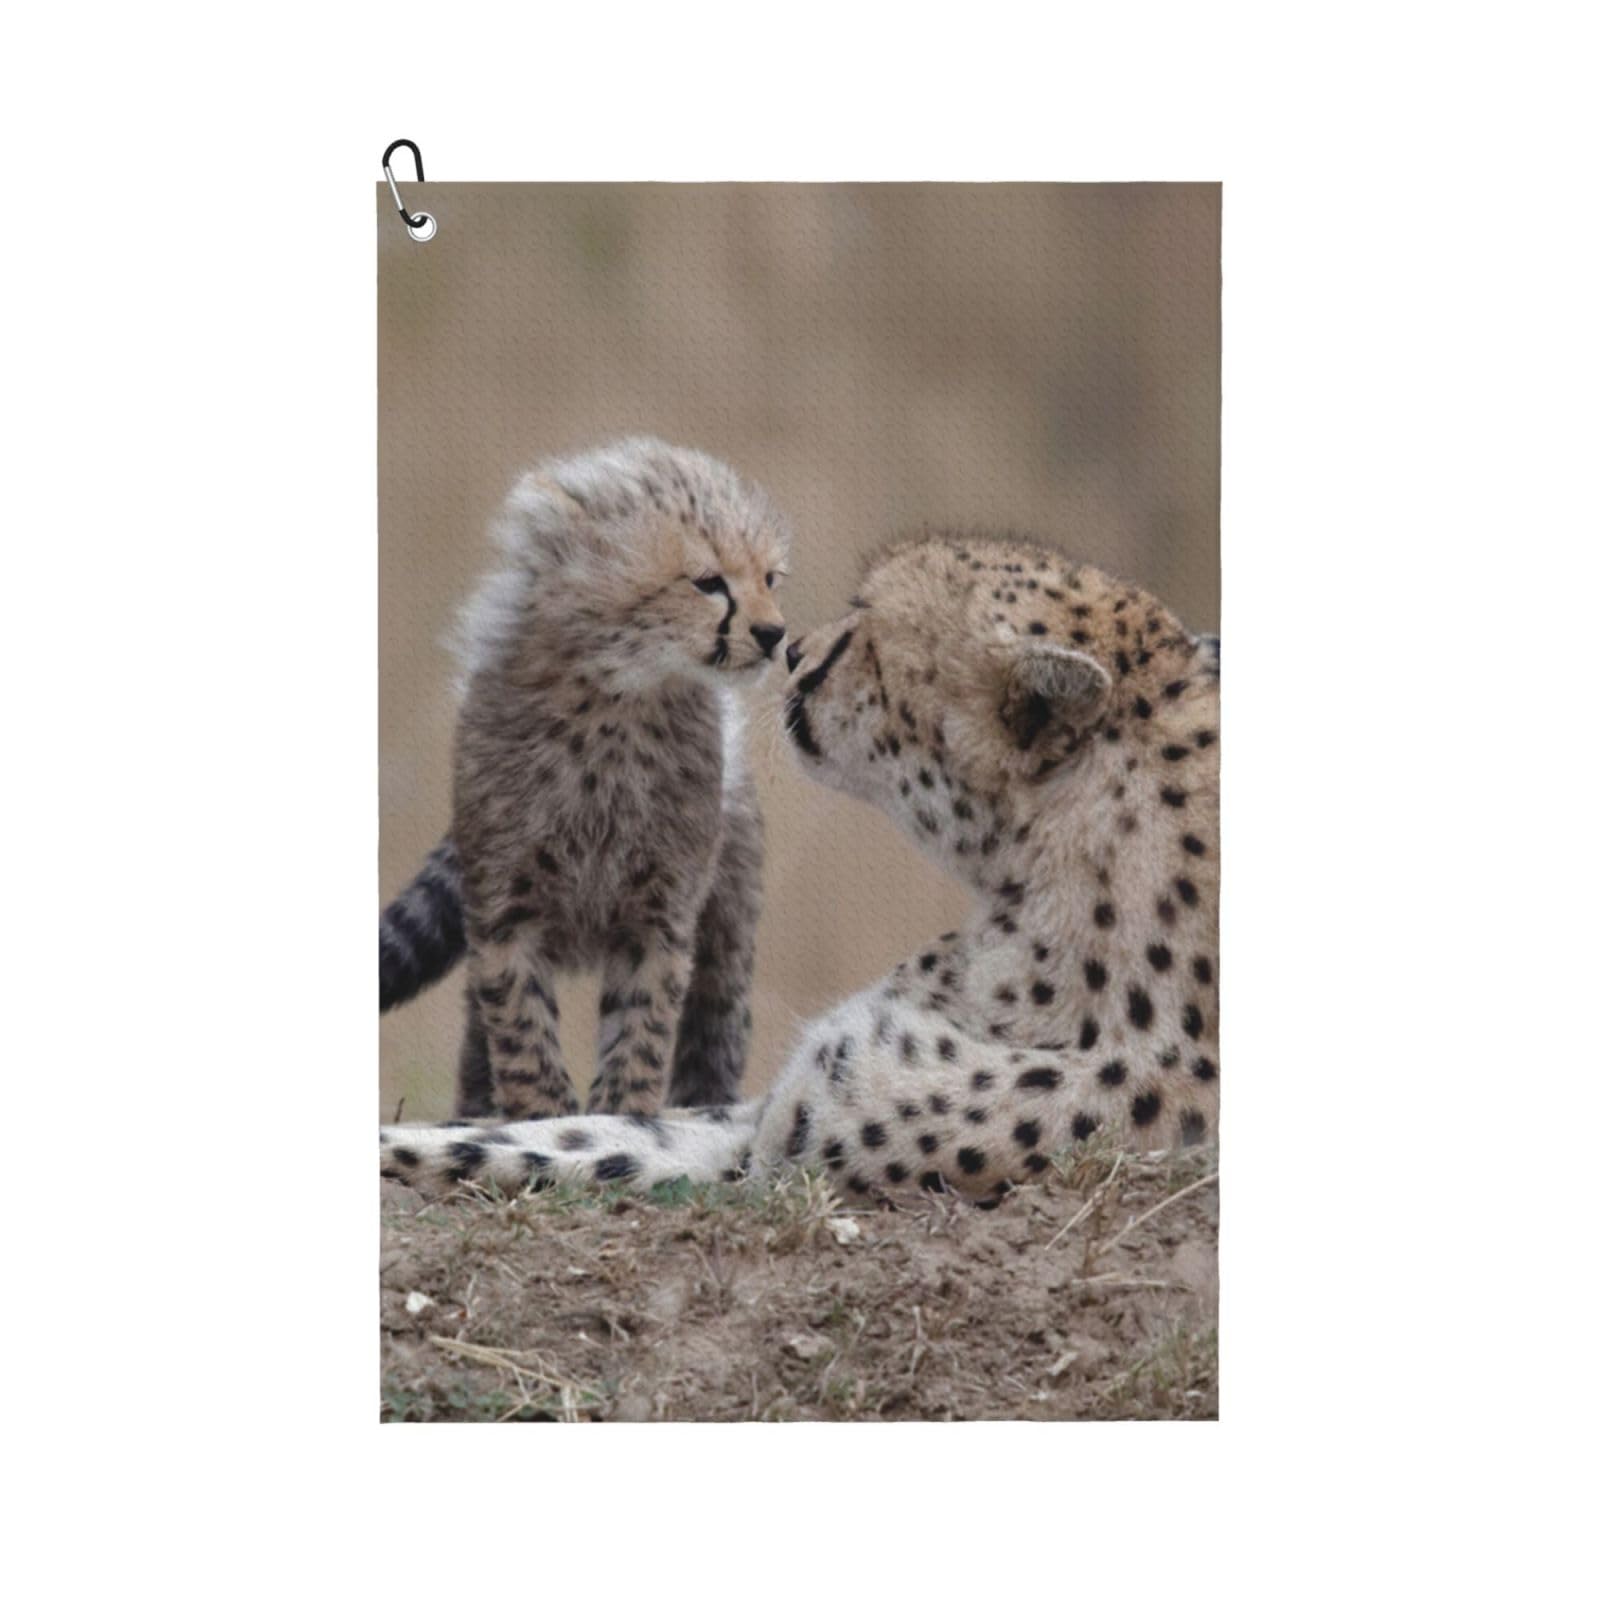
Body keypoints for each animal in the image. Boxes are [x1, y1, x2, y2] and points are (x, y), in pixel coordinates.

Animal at [380, 437, 791, 1121]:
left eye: (769, 579)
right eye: (708, 582)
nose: (774, 634)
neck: (616, 700)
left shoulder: (659, 919)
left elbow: (642, 1032)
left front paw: (623, 1114)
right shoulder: (505, 917)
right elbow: (522, 1032)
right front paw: (542, 1116)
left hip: (729, 924)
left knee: (716, 1022)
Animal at [380, 533, 1218, 1202]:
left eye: (866, 631)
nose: (793, 650)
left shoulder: (781, 1159)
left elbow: (526, 1151)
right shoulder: (770, 1114)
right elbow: (565, 1129)